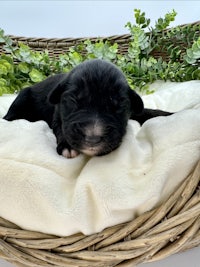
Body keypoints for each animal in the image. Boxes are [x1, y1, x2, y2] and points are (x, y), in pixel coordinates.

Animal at [3, 59, 172, 158]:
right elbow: (61, 129)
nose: (92, 139)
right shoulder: (58, 116)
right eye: (73, 101)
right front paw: (66, 146)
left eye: (119, 105)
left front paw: (170, 114)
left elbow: (146, 111)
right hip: (22, 97)